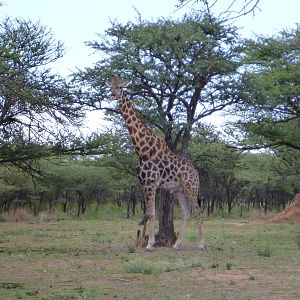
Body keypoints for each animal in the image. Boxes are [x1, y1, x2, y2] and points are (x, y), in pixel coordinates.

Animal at [105, 75, 204, 251]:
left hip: (191, 187)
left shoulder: (150, 182)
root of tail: (195, 172)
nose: (113, 95)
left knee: (197, 211)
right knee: (187, 212)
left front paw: (150, 244)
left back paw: (201, 244)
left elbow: (151, 213)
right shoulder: (144, 183)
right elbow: (150, 213)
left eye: (122, 87)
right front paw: (150, 242)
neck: (142, 149)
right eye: (112, 87)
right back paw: (176, 244)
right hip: (179, 190)